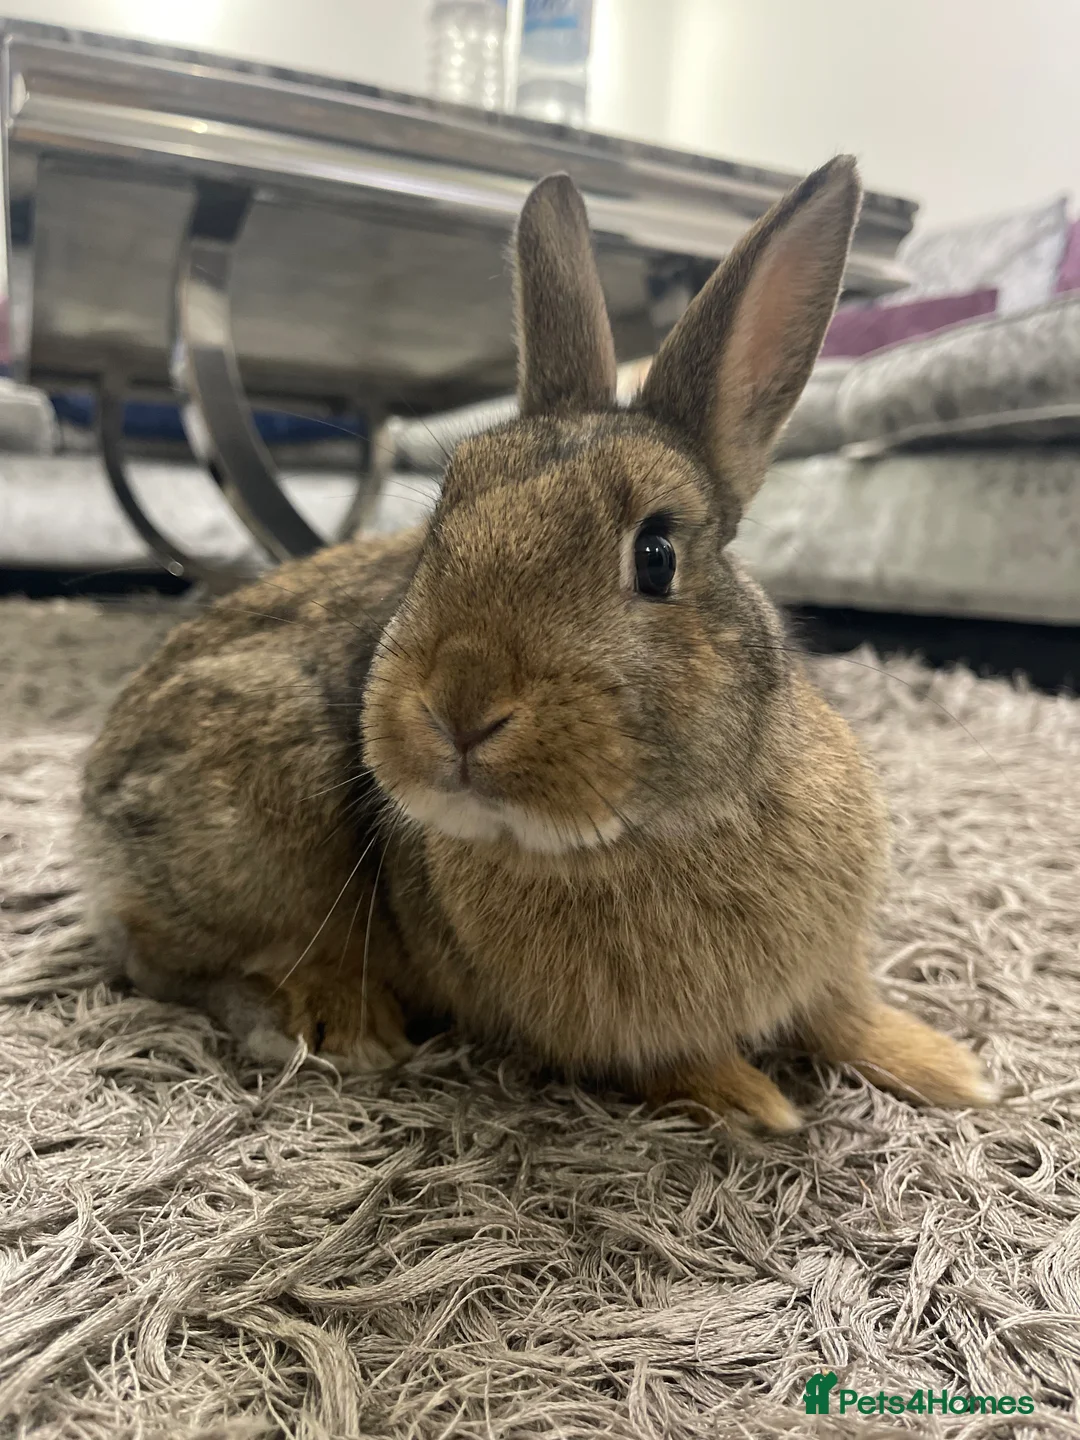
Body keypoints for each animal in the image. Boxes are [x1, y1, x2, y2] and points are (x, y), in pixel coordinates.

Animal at [80, 157, 997, 1129]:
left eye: (657, 556)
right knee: (162, 959)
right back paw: (334, 1020)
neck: (645, 835)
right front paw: (754, 1102)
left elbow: (847, 1015)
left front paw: (953, 1072)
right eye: (438, 525)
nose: (461, 705)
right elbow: (675, 1062)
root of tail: (90, 811)